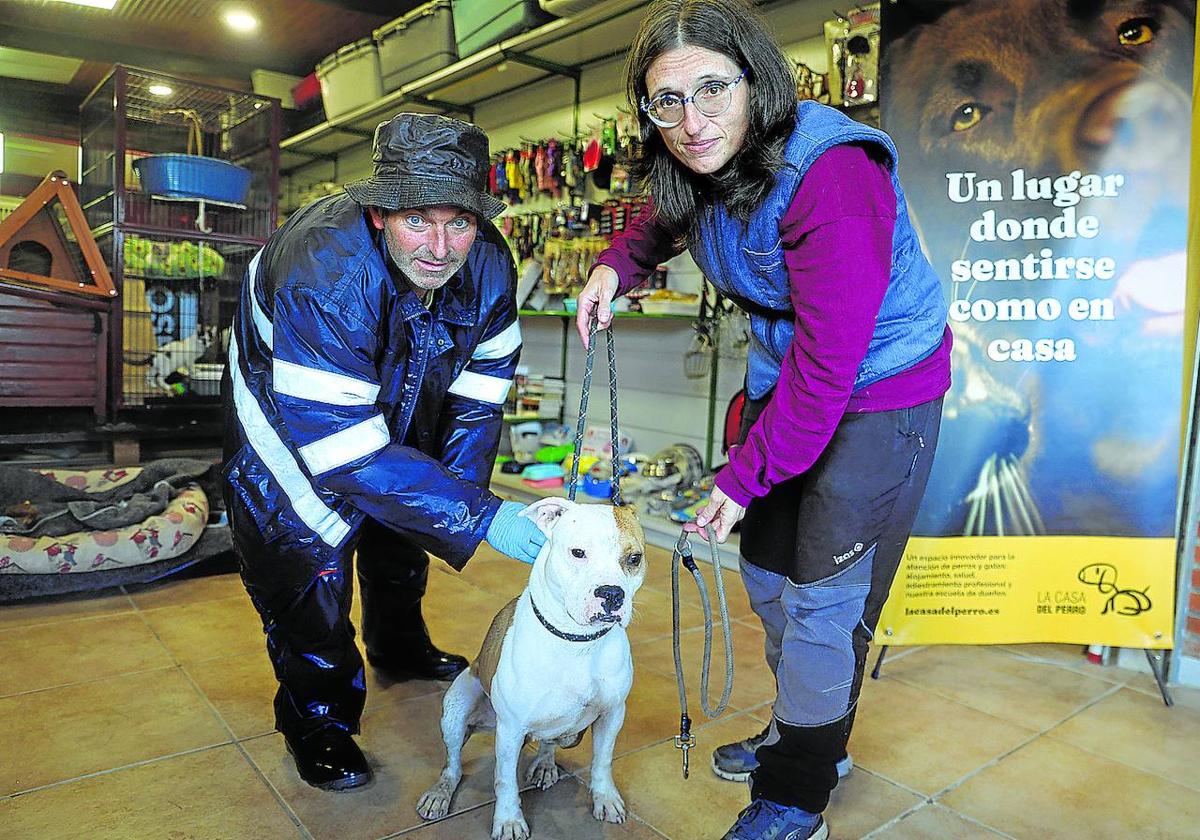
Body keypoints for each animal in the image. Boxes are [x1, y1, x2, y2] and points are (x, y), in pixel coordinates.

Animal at [420, 499, 652, 840]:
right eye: (578, 552)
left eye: (633, 559)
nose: (611, 594)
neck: (576, 642)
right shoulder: (510, 729)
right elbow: (504, 780)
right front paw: (509, 820)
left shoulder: (612, 715)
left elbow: (603, 761)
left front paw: (606, 798)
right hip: (456, 709)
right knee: (453, 764)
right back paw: (440, 794)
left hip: (569, 734)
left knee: (549, 740)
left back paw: (544, 764)